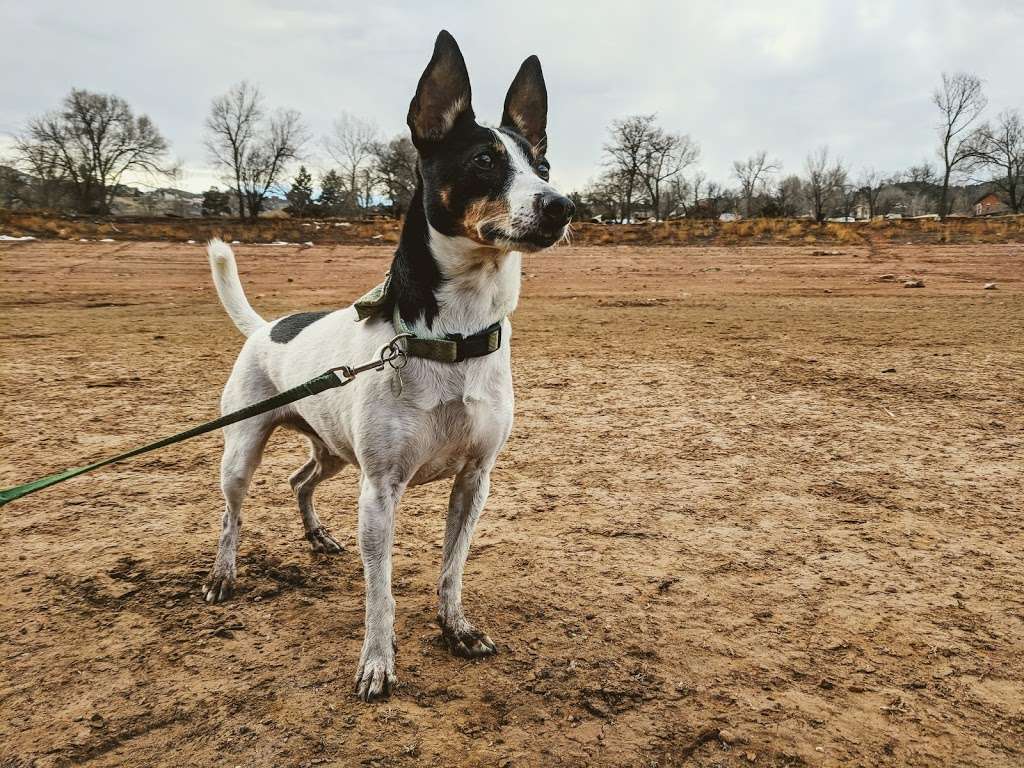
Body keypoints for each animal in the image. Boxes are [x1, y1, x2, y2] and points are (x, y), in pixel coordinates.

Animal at [200, 31, 577, 704]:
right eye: (484, 160)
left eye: (543, 167)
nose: (564, 206)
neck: (454, 333)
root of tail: (265, 326)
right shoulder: (379, 491)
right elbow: (381, 592)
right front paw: (377, 663)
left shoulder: (474, 480)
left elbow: (451, 570)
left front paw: (456, 628)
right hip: (241, 450)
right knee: (230, 514)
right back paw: (223, 575)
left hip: (330, 447)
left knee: (300, 479)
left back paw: (316, 535)